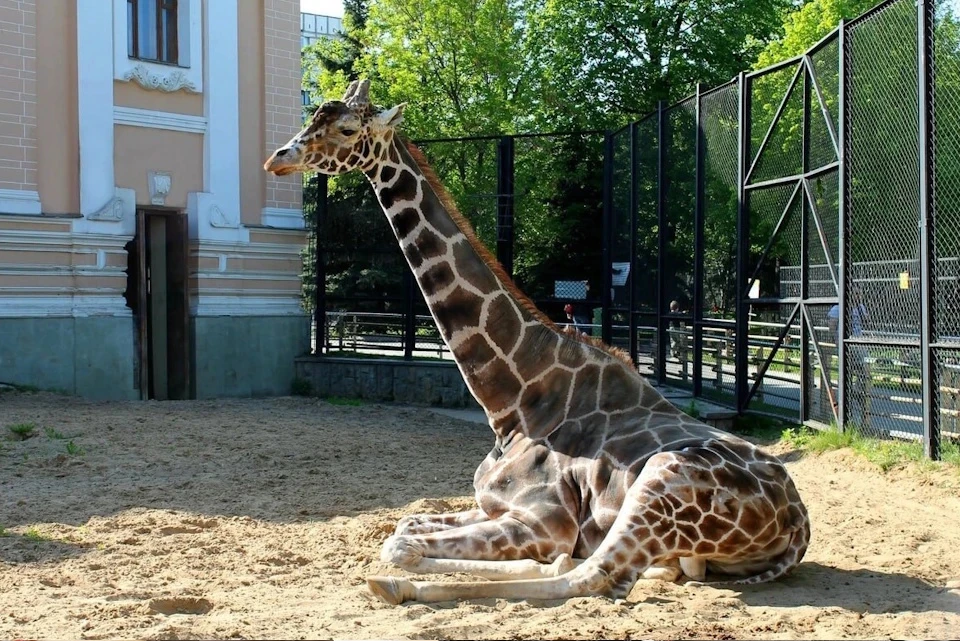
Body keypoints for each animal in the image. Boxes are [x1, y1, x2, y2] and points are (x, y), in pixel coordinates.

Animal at [264, 81, 808, 604]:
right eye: (313, 118)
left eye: (348, 129)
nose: (278, 158)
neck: (514, 403)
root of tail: (798, 522)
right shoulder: (493, 507)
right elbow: (405, 525)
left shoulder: (546, 522)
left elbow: (401, 544)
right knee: (596, 568)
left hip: (661, 482)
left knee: (591, 577)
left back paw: (399, 589)